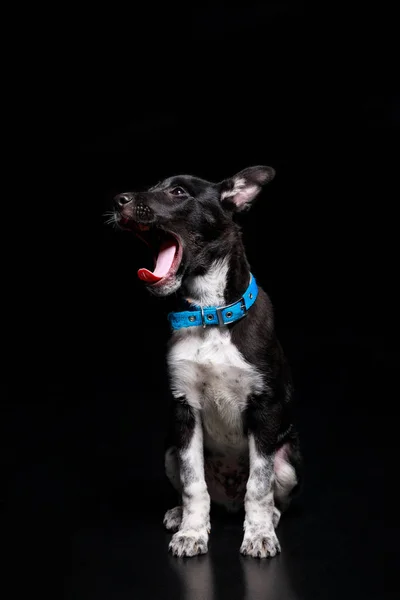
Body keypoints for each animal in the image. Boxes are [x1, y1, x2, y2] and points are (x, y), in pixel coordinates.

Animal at [111, 165, 302, 556]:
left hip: (288, 459)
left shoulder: (264, 410)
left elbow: (259, 485)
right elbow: (193, 483)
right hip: (169, 449)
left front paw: (259, 533)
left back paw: (271, 517)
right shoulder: (184, 411)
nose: (119, 200)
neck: (208, 314)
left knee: (272, 493)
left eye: (178, 192)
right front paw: (192, 532)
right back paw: (178, 514)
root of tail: (228, 502)